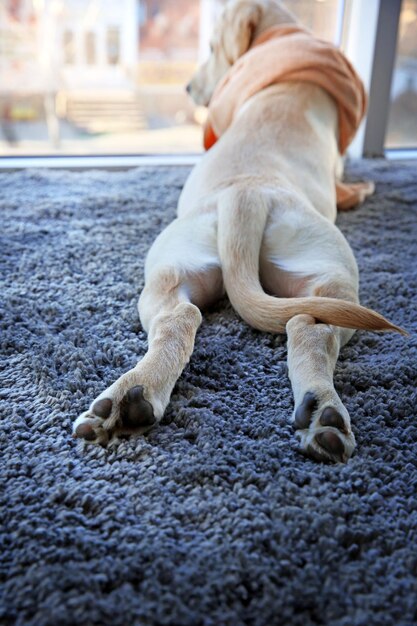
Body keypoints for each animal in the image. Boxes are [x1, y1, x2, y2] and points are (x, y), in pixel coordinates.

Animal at [72, 0, 404, 458]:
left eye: (212, 47)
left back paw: (131, 398)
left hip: (173, 273)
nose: (188, 88)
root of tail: (248, 193)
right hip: (332, 275)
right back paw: (323, 413)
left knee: (186, 319)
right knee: (309, 328)